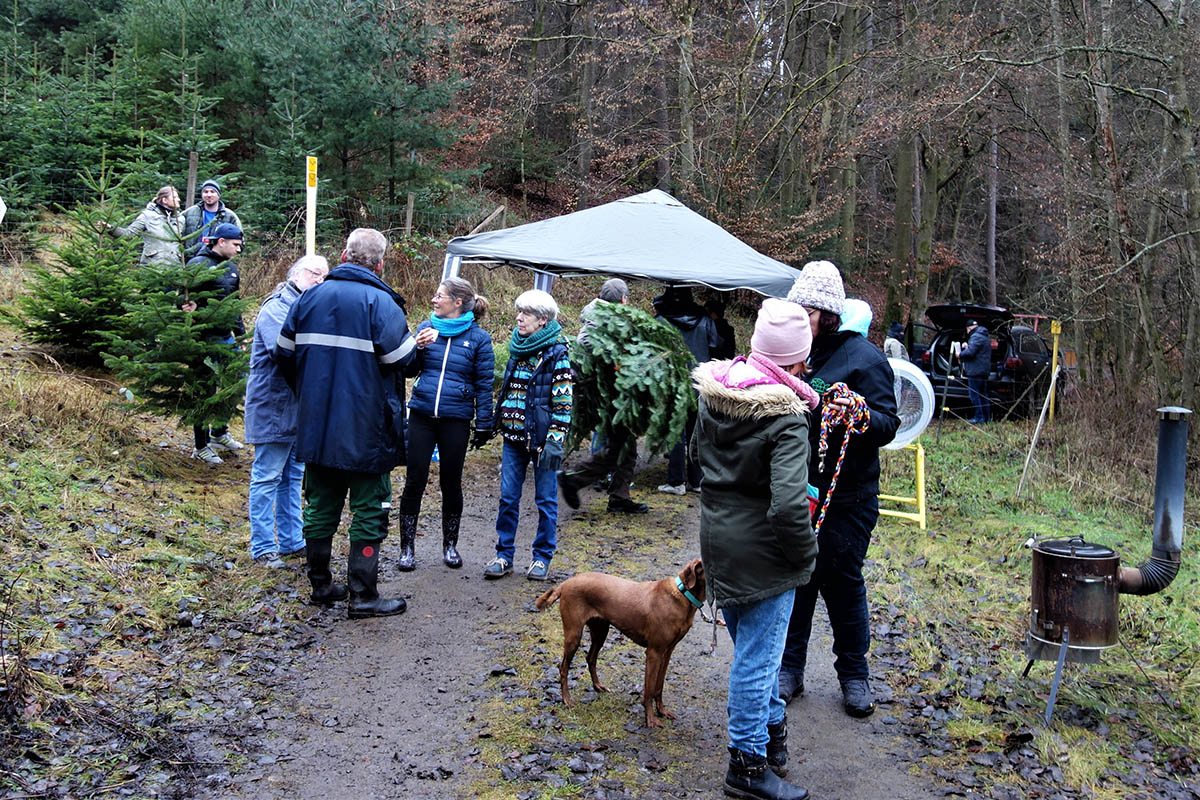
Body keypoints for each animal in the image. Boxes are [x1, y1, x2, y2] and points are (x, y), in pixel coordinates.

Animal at [535, 561, 700, 729]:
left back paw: (598, 686)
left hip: (600, 632)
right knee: (563, 667)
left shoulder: (667, 652)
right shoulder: (654, 652)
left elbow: (659, 686)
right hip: (574, 635)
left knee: (590, 658)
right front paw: (650, 719)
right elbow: (649, 689)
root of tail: (565, 583)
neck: (682, 595)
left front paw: (662, 711)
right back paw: (566, 699)